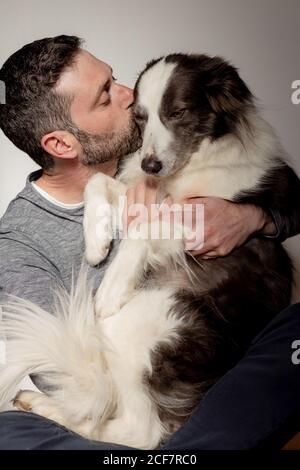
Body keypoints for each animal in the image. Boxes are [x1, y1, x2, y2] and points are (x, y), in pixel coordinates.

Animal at [0, 53, 296, 450]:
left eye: (179, 111)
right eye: (139, 116)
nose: (149, 164)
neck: (191, 165)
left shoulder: (210, 215)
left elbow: (143, 227)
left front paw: (109, 290)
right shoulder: (146, 193)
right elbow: (98, 182)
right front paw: (97, 242)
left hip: (145, 322)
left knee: (140, 431)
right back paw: (37, 404)